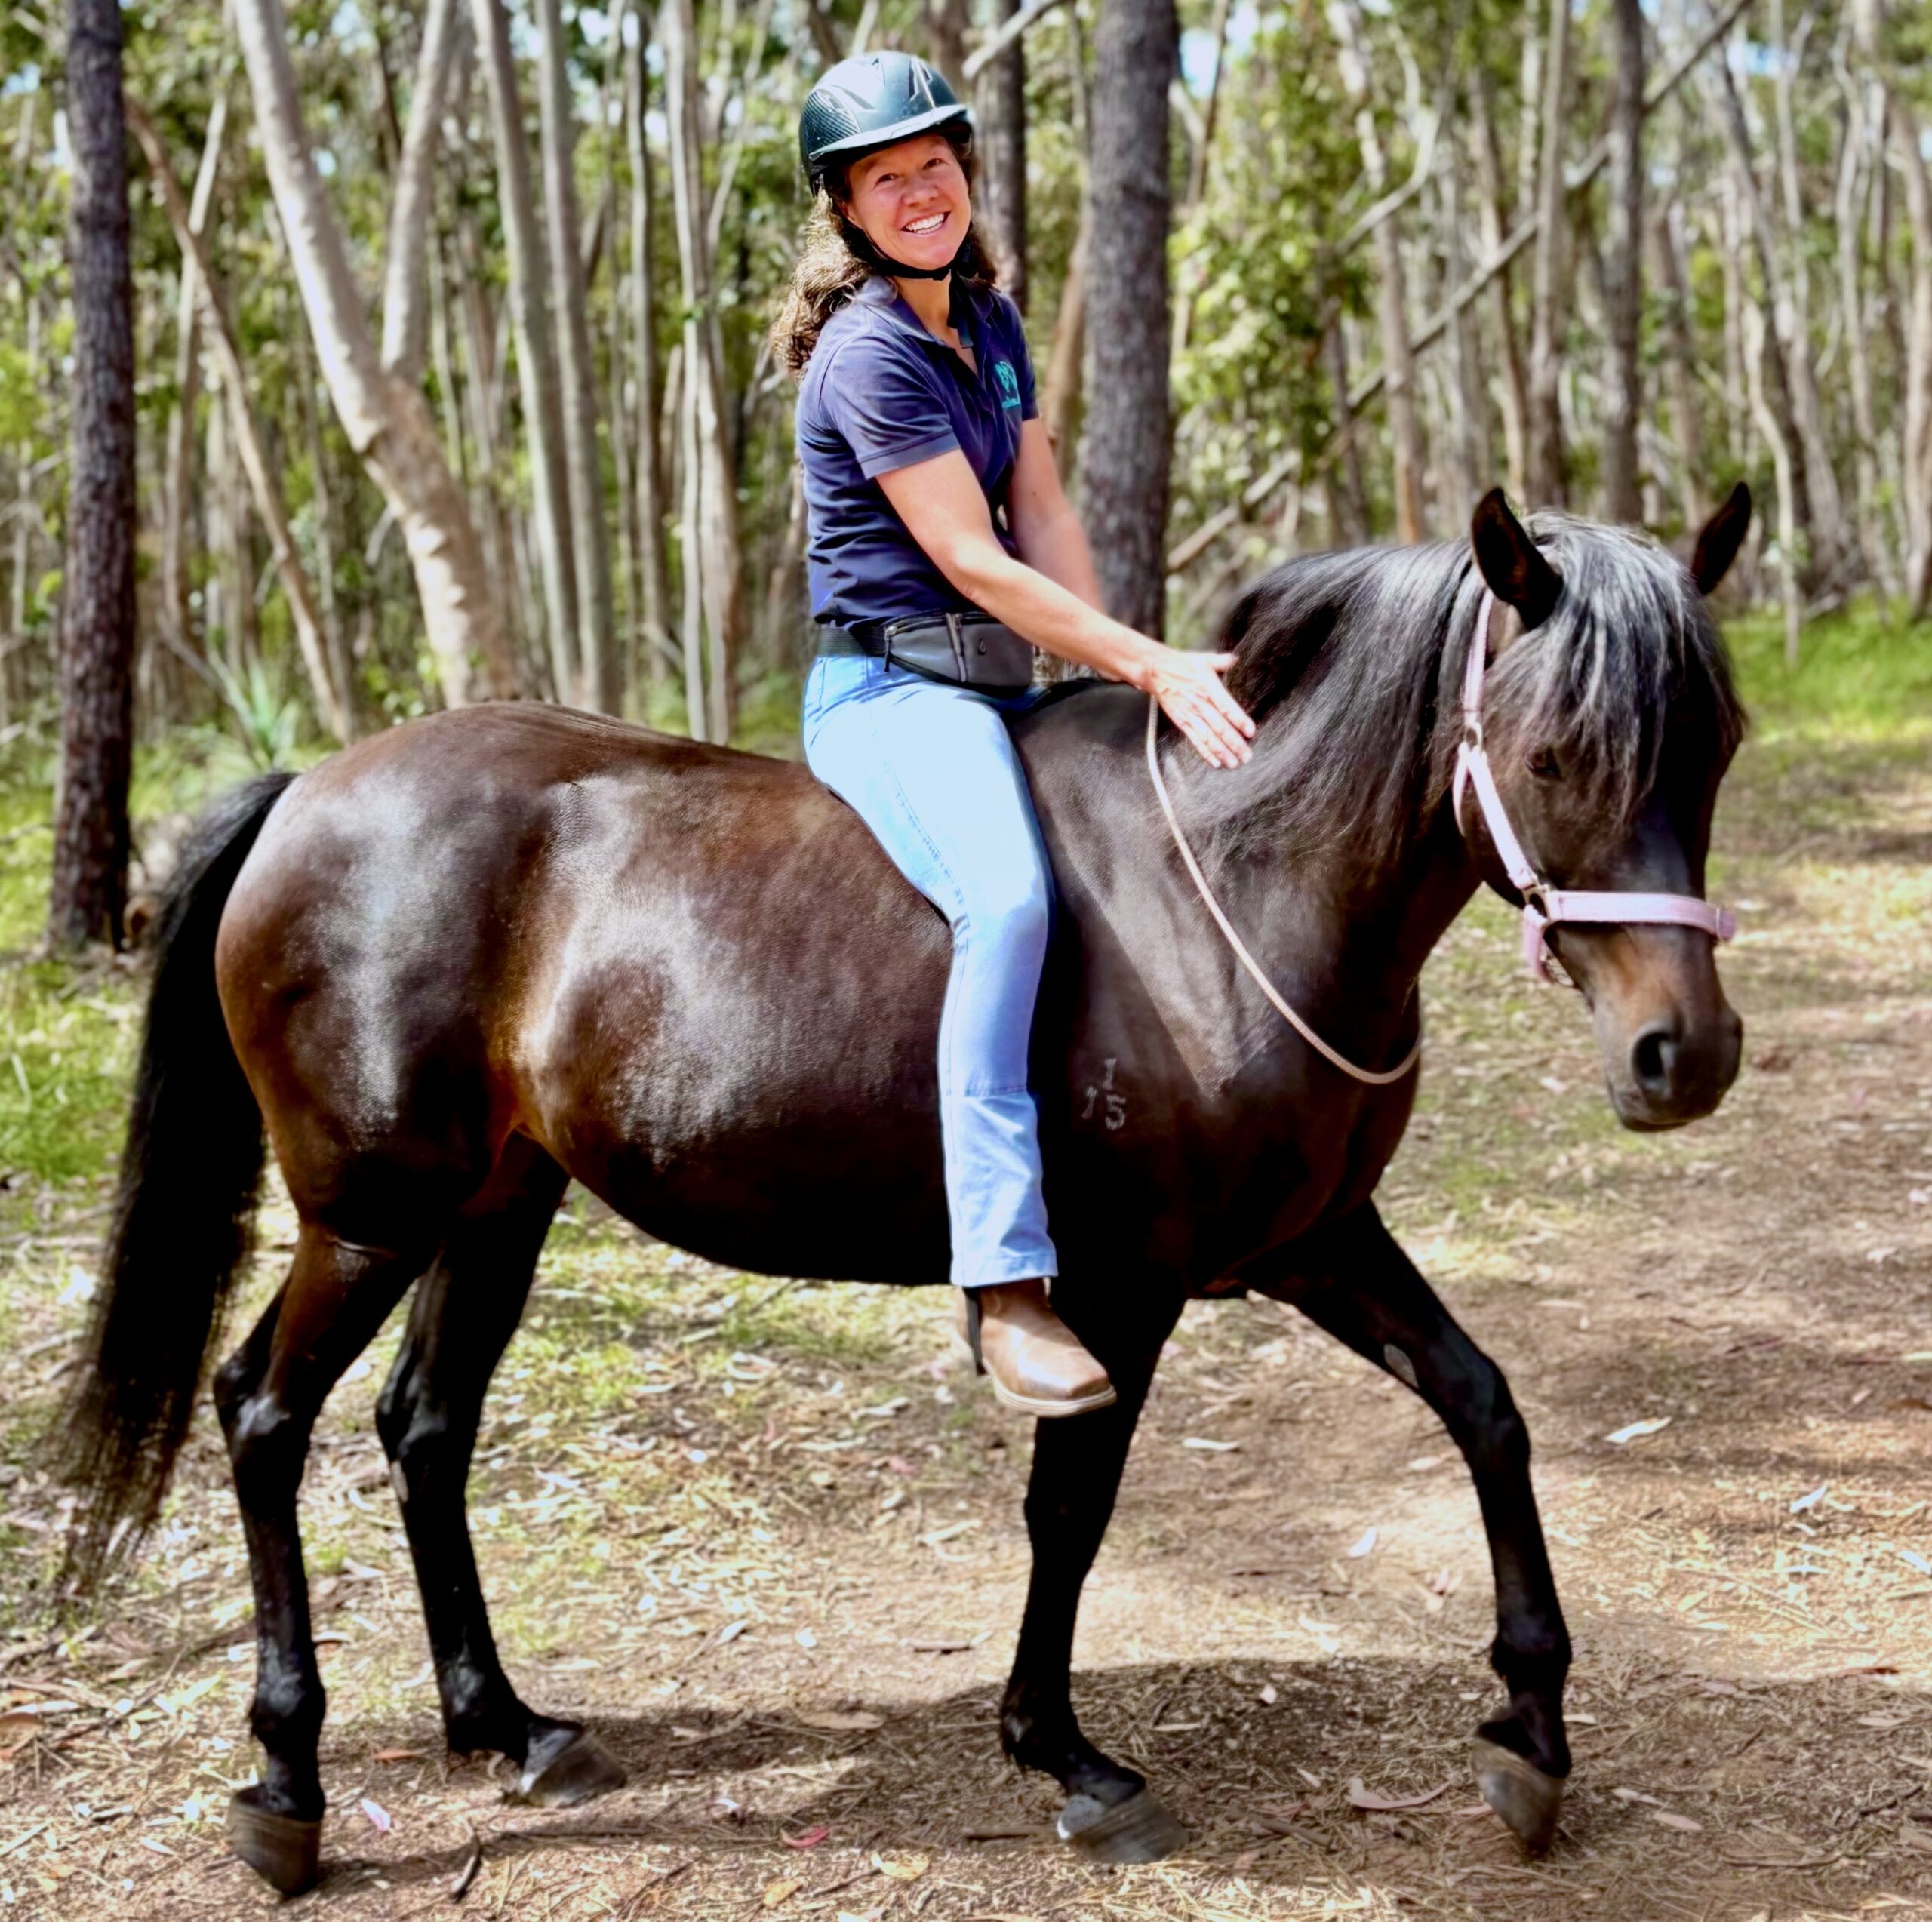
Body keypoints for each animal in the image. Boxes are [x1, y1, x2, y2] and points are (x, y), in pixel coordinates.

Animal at [57, 487, 1751, 1893]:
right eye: (1553, 754)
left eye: (1715, 744)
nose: (1685, 1056)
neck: (1230, 886)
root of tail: (307, 796)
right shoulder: (1123, 1286)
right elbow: (1071, 1505)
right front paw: (1062, 1754)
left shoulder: (1315, 1241)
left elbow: (1484, 1407)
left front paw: (1529, 1732)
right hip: (370, 1217)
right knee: (264, 1416)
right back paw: (287, 1784)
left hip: (495, 1209)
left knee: (426, 1428)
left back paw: (508, 1724)